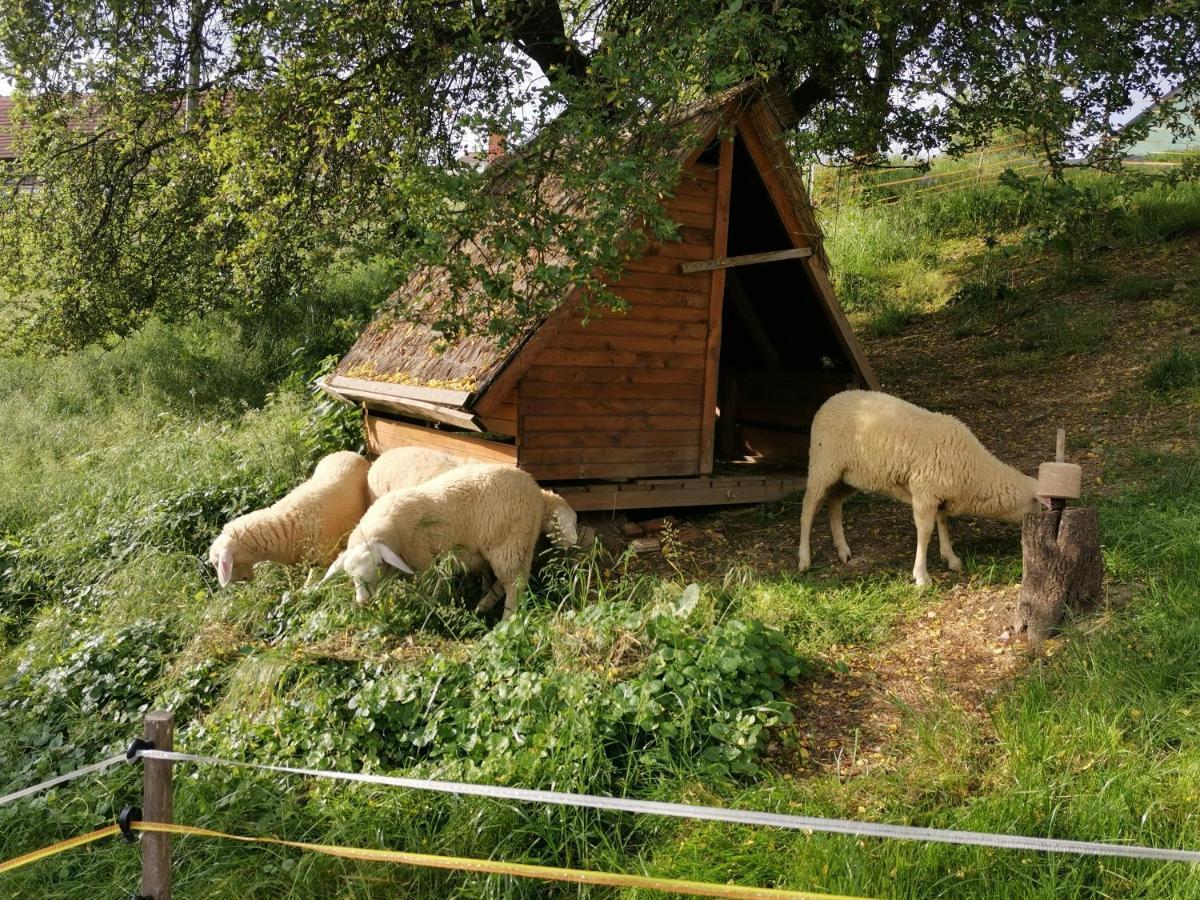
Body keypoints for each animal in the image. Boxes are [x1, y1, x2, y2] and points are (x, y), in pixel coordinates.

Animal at [207, 448, 369, 585]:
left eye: (216, 563)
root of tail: (347, 452)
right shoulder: (291, 563)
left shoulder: (324, 557)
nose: (237, 583)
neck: (286, 524)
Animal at [319, 465, 580, 619]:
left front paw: (428, 605)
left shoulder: (423, 561)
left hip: (507, 543)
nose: (363, 602)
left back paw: (507, 619)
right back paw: (484, 605)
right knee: (515, 579)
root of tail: (535, 490)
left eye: (377, 564)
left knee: (514, 584)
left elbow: (427, 589)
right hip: (520, 542)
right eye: (349, 574)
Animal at [796, 391, 1041, 588]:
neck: (975, 472)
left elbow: (943, 523)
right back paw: (804, 559)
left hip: (849, 476)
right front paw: (921, 576)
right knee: (808, 508)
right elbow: (925, 532)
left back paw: (843, 550)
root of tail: (830, 400)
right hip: (822, 465)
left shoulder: (939, 494)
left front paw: (950, 558)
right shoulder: (924, 492)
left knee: (834, 503)